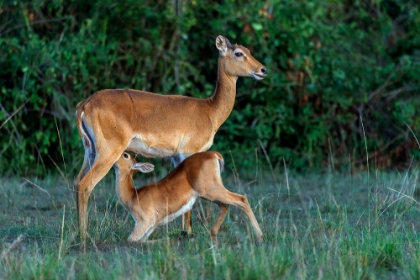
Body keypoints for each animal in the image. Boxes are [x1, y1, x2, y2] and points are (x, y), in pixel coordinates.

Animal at [113, 152, 260, 242]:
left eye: (125, 155)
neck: (133, 195)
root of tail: (214, 154)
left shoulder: (143, 223)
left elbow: (130, 240)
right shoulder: (151, 227)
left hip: (211, 191)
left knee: (241, 199)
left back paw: (260, 236)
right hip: (211, 194)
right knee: (225, 207)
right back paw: (211, 235)